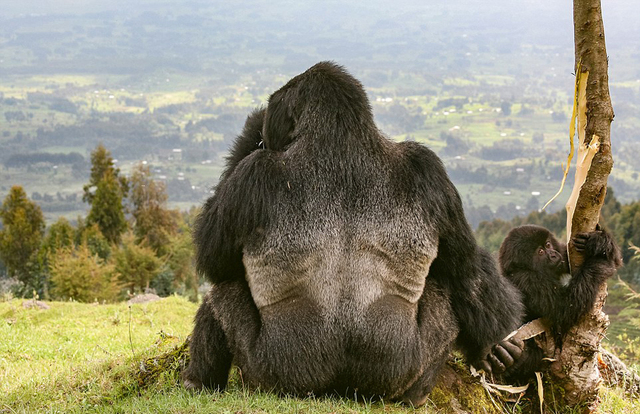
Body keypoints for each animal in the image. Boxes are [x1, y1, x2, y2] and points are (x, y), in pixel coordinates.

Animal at [182, 61, 524, 404]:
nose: (266, 132)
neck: (340, 134)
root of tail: (341, 389)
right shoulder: (429, 167)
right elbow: (464, 267)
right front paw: (494, 343)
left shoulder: (252, 172)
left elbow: (213, 258)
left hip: (275, 378)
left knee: (222, 290)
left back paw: (197, 381)